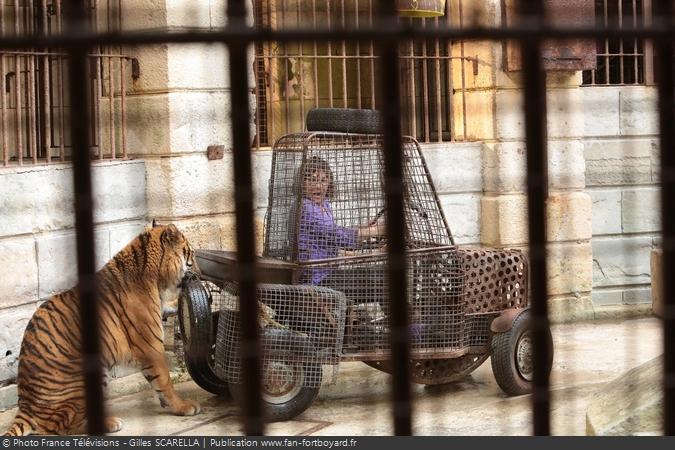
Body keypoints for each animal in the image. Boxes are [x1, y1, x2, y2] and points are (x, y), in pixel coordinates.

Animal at [4, 224, 201, 436]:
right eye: (192, 256)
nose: (200, 274)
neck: (154, 277)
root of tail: (25, 406)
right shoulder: (150, 345)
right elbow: (164, 381)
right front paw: (183, 406)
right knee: (58, 426)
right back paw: (110, 423)